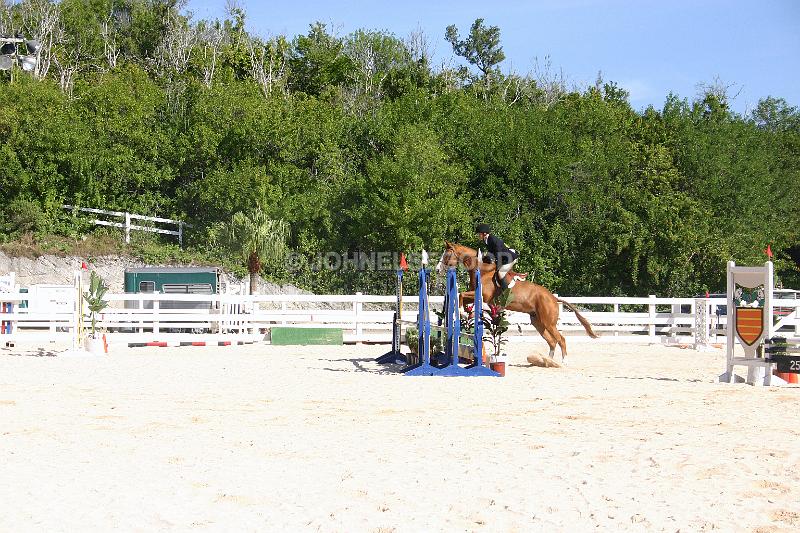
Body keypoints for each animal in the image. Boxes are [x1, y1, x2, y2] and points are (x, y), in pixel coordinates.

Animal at [434, 241, 596, 362]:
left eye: (447, 254)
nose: (437, 270)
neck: (482, 270)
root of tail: (553, 298)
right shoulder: (475, 295)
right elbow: (462, 296)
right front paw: (464, 313)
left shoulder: (483, 296)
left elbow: (461, 294)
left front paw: (462, 312)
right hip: (538, 322)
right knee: (552, 341)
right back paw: (548, 361)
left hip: (548, 322)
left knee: (561, 339)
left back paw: (562, 362)